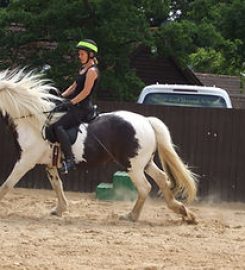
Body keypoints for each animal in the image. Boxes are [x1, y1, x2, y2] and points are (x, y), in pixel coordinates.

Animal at [0, 67, 198, 224]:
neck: (32, 120)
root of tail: (147, 121)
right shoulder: (49, 164)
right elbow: (58, 185)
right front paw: (60, 209)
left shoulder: (25, 161)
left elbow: (7, 185)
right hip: (144, 163)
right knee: (162, 179)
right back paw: (183, 212)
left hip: (132, 165)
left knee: (144, 187)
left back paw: (131, 216)